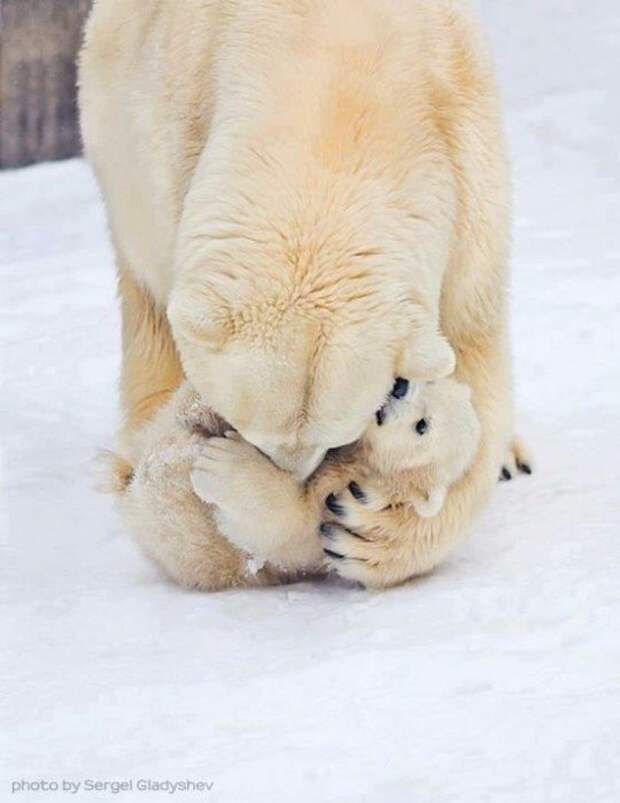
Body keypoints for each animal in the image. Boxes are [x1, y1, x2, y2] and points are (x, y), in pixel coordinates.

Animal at [78, 0, 524, 592]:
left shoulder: (466, 171)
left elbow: (472, 359)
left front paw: (368, 529)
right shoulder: (175, 132)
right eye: (251, 427)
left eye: (335, 437)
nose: (293, 474)